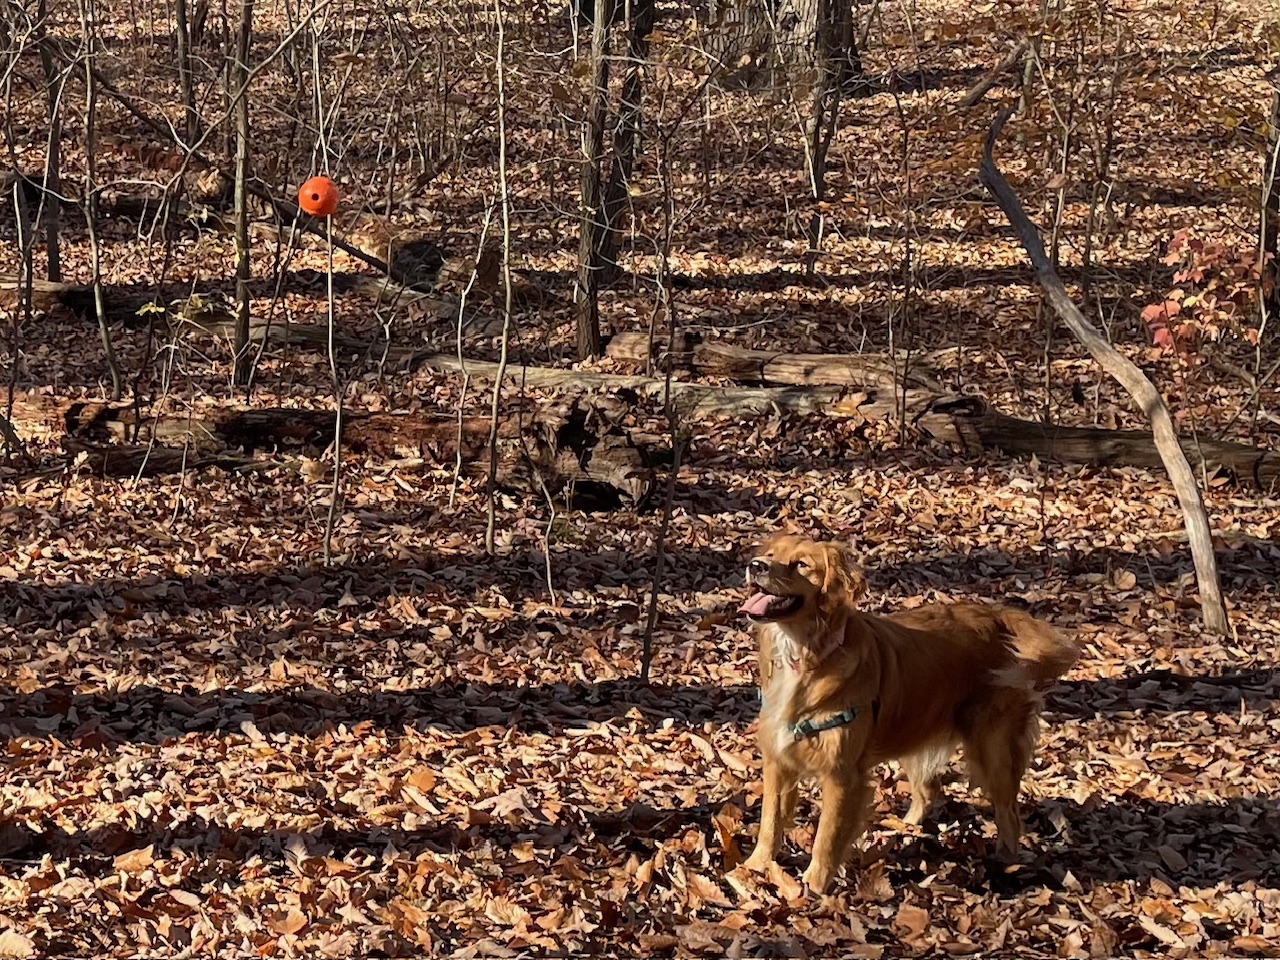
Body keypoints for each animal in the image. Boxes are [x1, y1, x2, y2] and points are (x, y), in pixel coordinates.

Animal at [742, 535, 1080, 896]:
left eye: (801, 564)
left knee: (1009, 813)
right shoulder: (777, 758)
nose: (755, 565)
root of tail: (999, 615)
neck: (804, 653)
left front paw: (814, 886)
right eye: (771, 554)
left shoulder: (841, 774)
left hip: (994, 749)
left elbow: (827, 836)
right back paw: (903, 830)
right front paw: (754, 866)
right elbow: (769, 821)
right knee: (930, 791)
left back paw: (1005, 861)